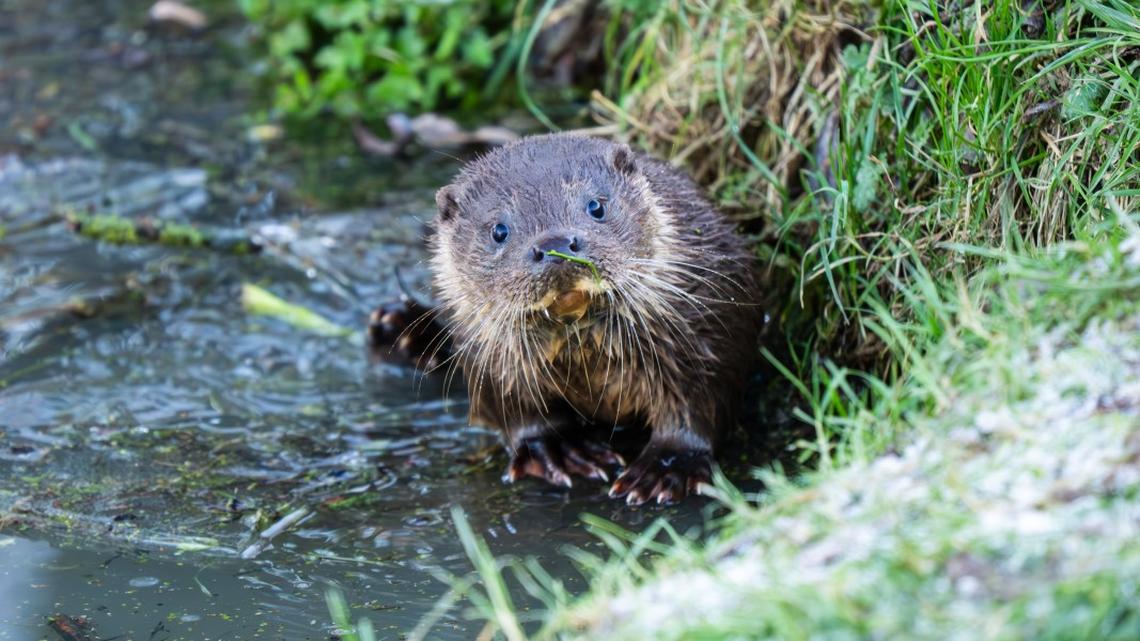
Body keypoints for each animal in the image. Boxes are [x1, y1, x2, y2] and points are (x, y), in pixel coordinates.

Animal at [426, 134, 761, 505]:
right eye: (499, 230)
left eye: (596, 206)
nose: (556, 244)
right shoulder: (488, 354)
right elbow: (515, 408)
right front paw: (557, 449)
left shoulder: (707, 326)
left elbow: (700, 399)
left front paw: (668, 465)